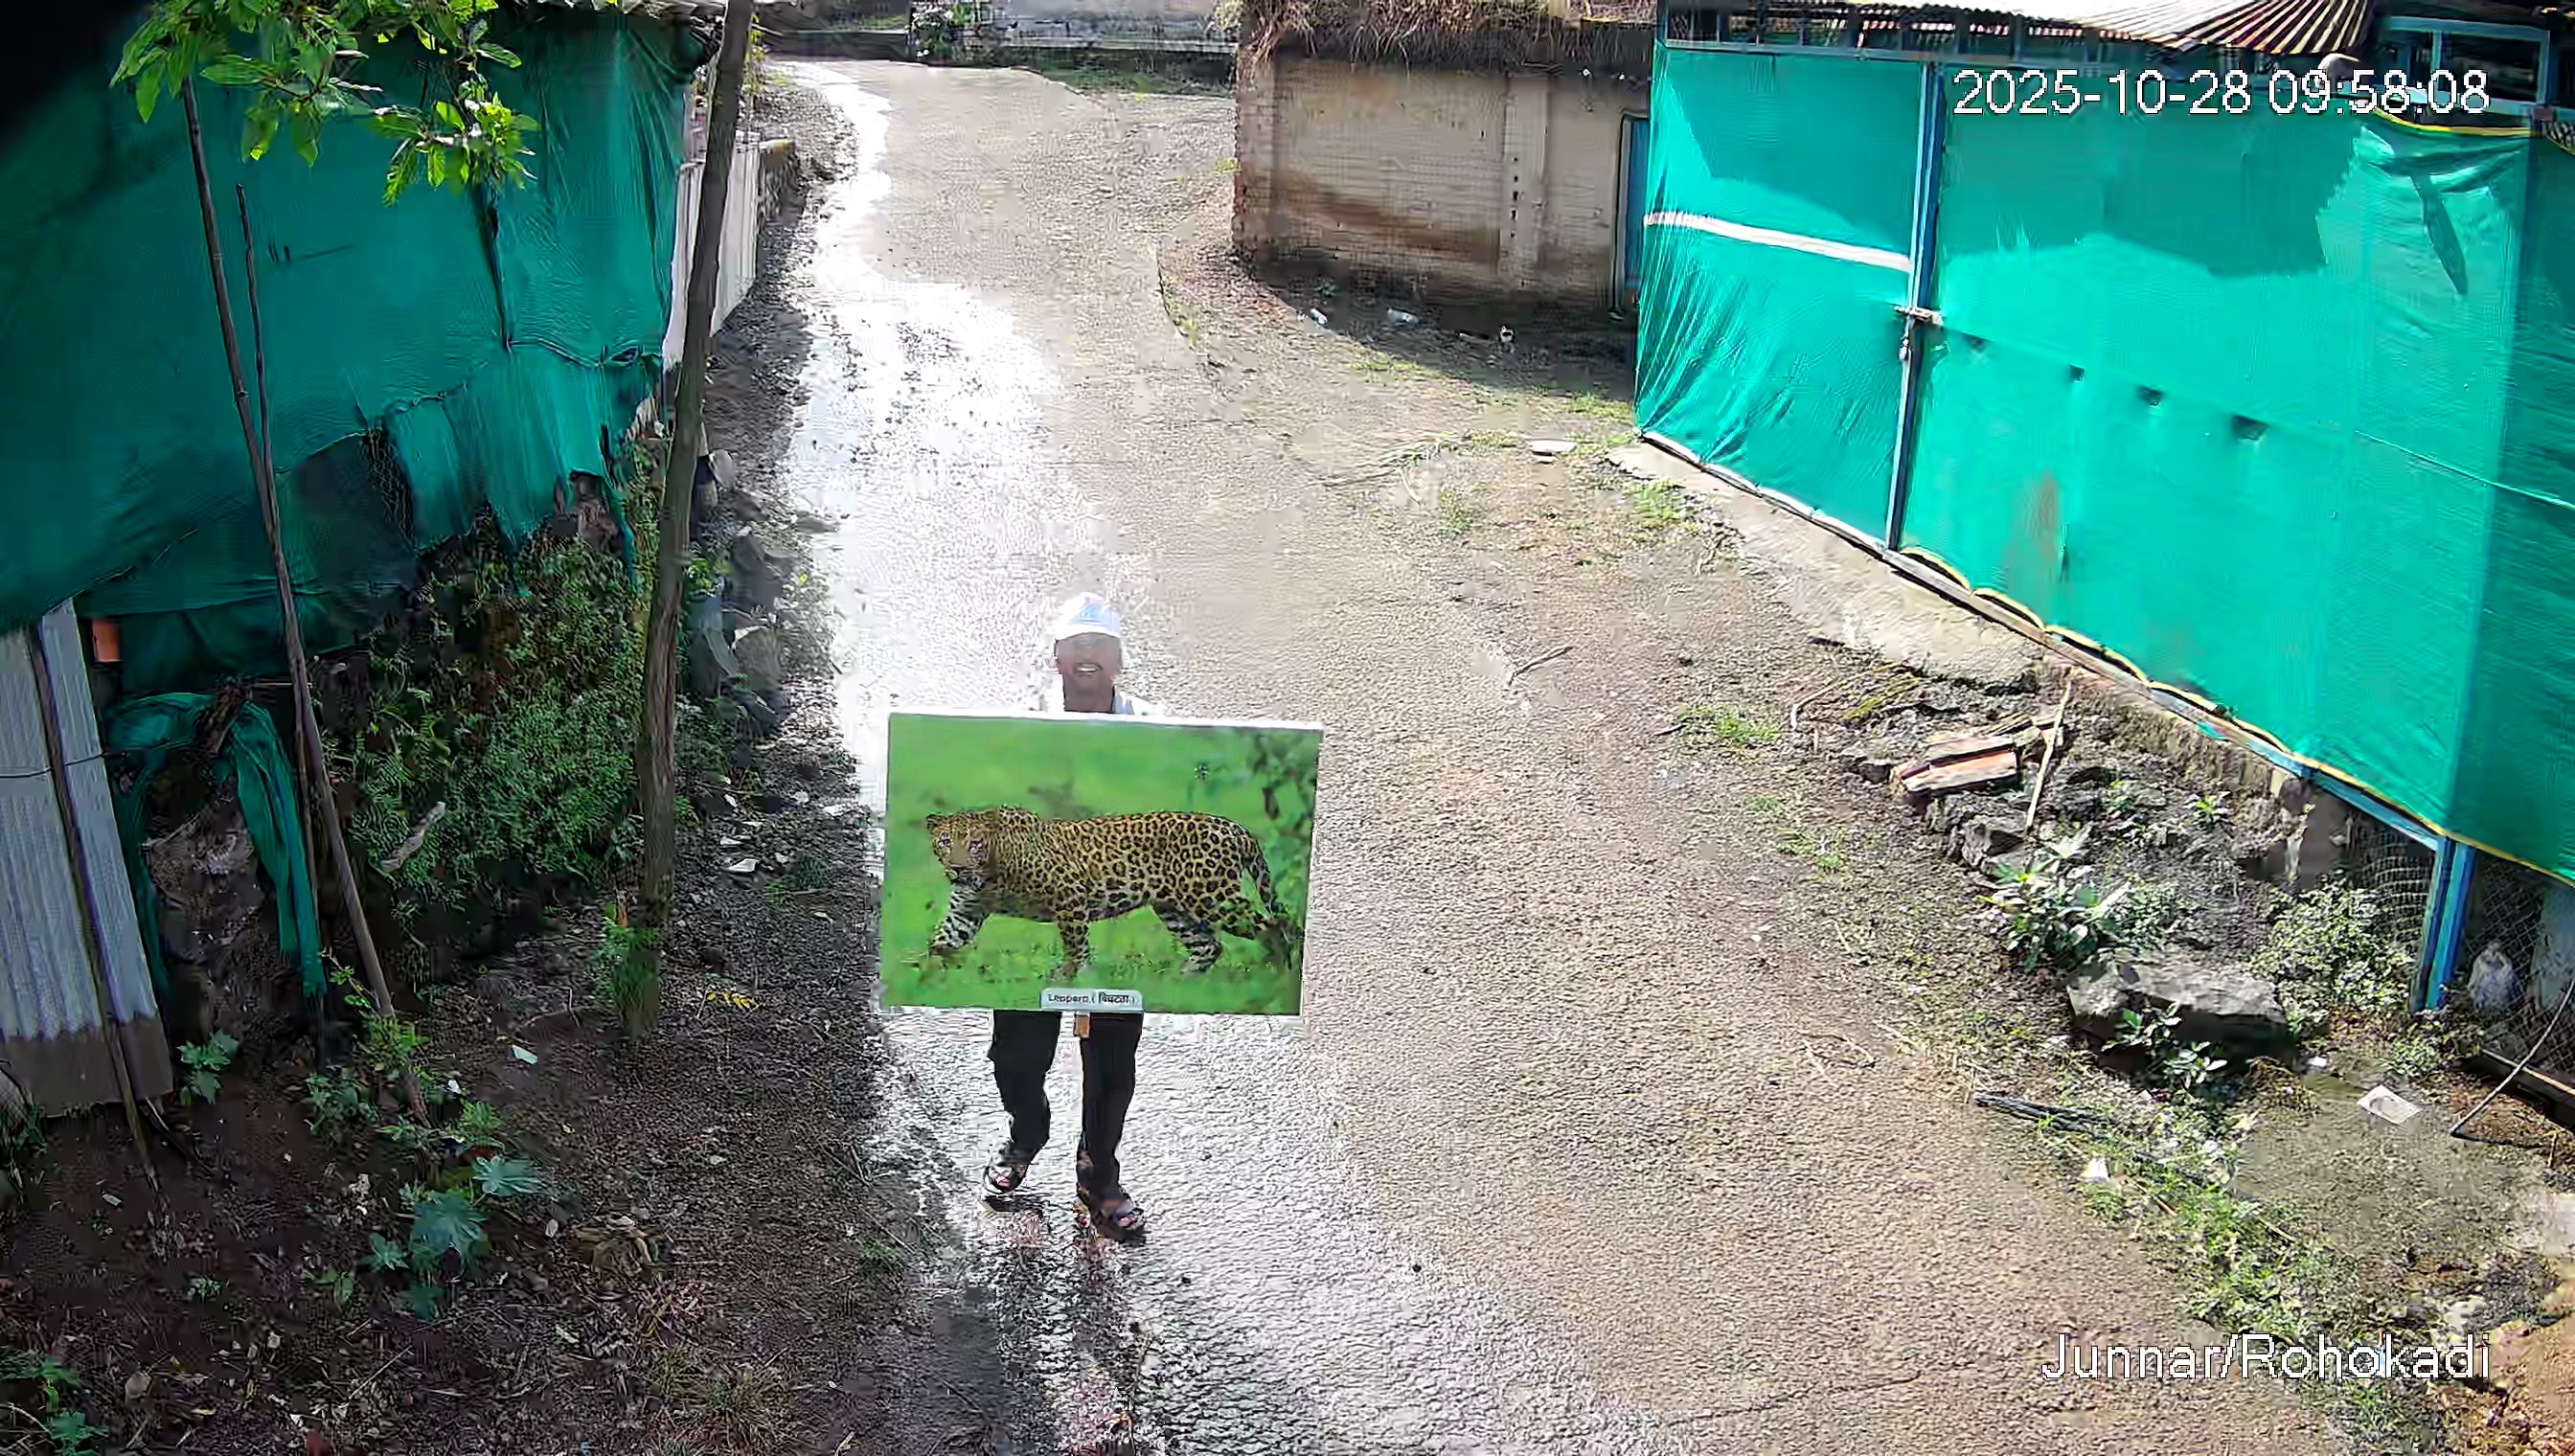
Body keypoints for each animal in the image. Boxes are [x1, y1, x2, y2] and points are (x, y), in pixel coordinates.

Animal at [923, 806, 1295, 978]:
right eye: (945, 842)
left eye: (974, 844)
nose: (958, 868)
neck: (988, 875)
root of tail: (1236, 827)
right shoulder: (964, 912)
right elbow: (940, 943)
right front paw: (924, 980)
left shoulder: (1069, 896)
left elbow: (1076, 945)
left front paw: (1069, 979)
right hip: (1175, 908)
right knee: (1209, 945)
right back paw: (1179, 982)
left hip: (1212, 896)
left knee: (1272, 926)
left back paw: (1278, 975)